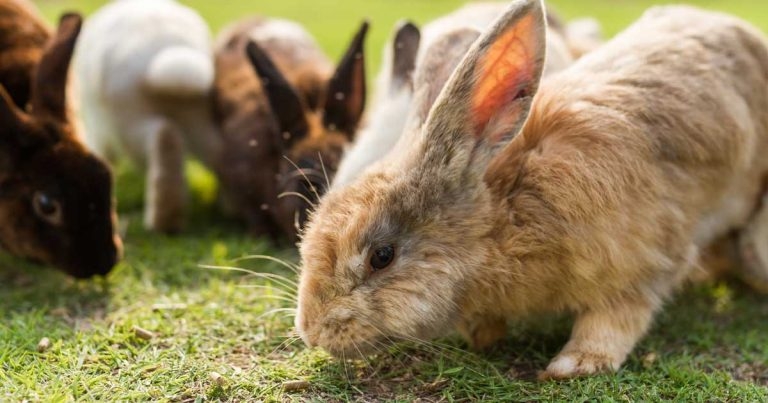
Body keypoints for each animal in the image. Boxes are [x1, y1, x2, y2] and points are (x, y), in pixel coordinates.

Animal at [74, 0, 219, 233]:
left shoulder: (100, 131)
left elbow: (100, 155)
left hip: (129, 127)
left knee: (165, 140)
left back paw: (163, 223)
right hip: (200, 122)